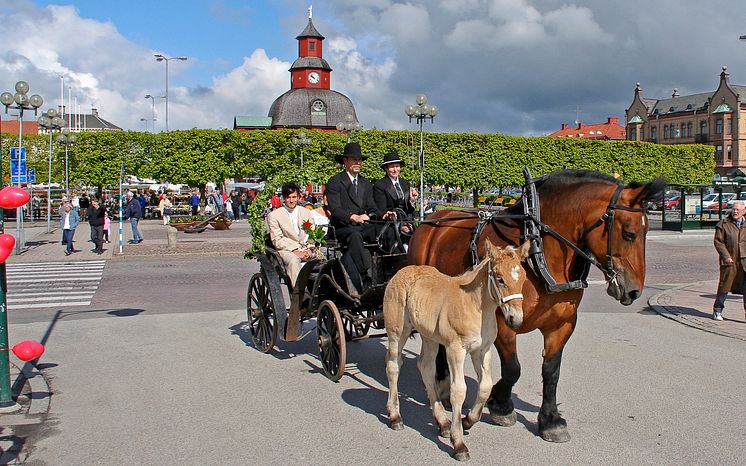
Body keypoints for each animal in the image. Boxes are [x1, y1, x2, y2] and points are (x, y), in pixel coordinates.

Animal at [384, 242, 528, 460]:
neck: (475, 305)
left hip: (429, 337)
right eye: (500, 279)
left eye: (524, 278)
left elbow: (485, 386)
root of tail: (401, 271)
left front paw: (468, 421)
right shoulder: (455, 350)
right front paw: (459, 443)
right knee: (393, 365)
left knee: (426, 367)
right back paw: (395, 416)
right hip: (398, 331)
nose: (515, 320)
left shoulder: (482, 350)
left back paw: (442, 422)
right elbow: (458, 391)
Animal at [406, 170, 664, 444]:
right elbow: (513, 369)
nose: (634, 291)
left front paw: (550, 421)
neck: (538, 255)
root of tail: (431, 219)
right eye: (629, 233)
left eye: (646, 232)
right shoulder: (503, 322)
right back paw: (442, 383)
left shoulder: (562, 325)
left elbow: (551, 371)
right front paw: (500, 404)